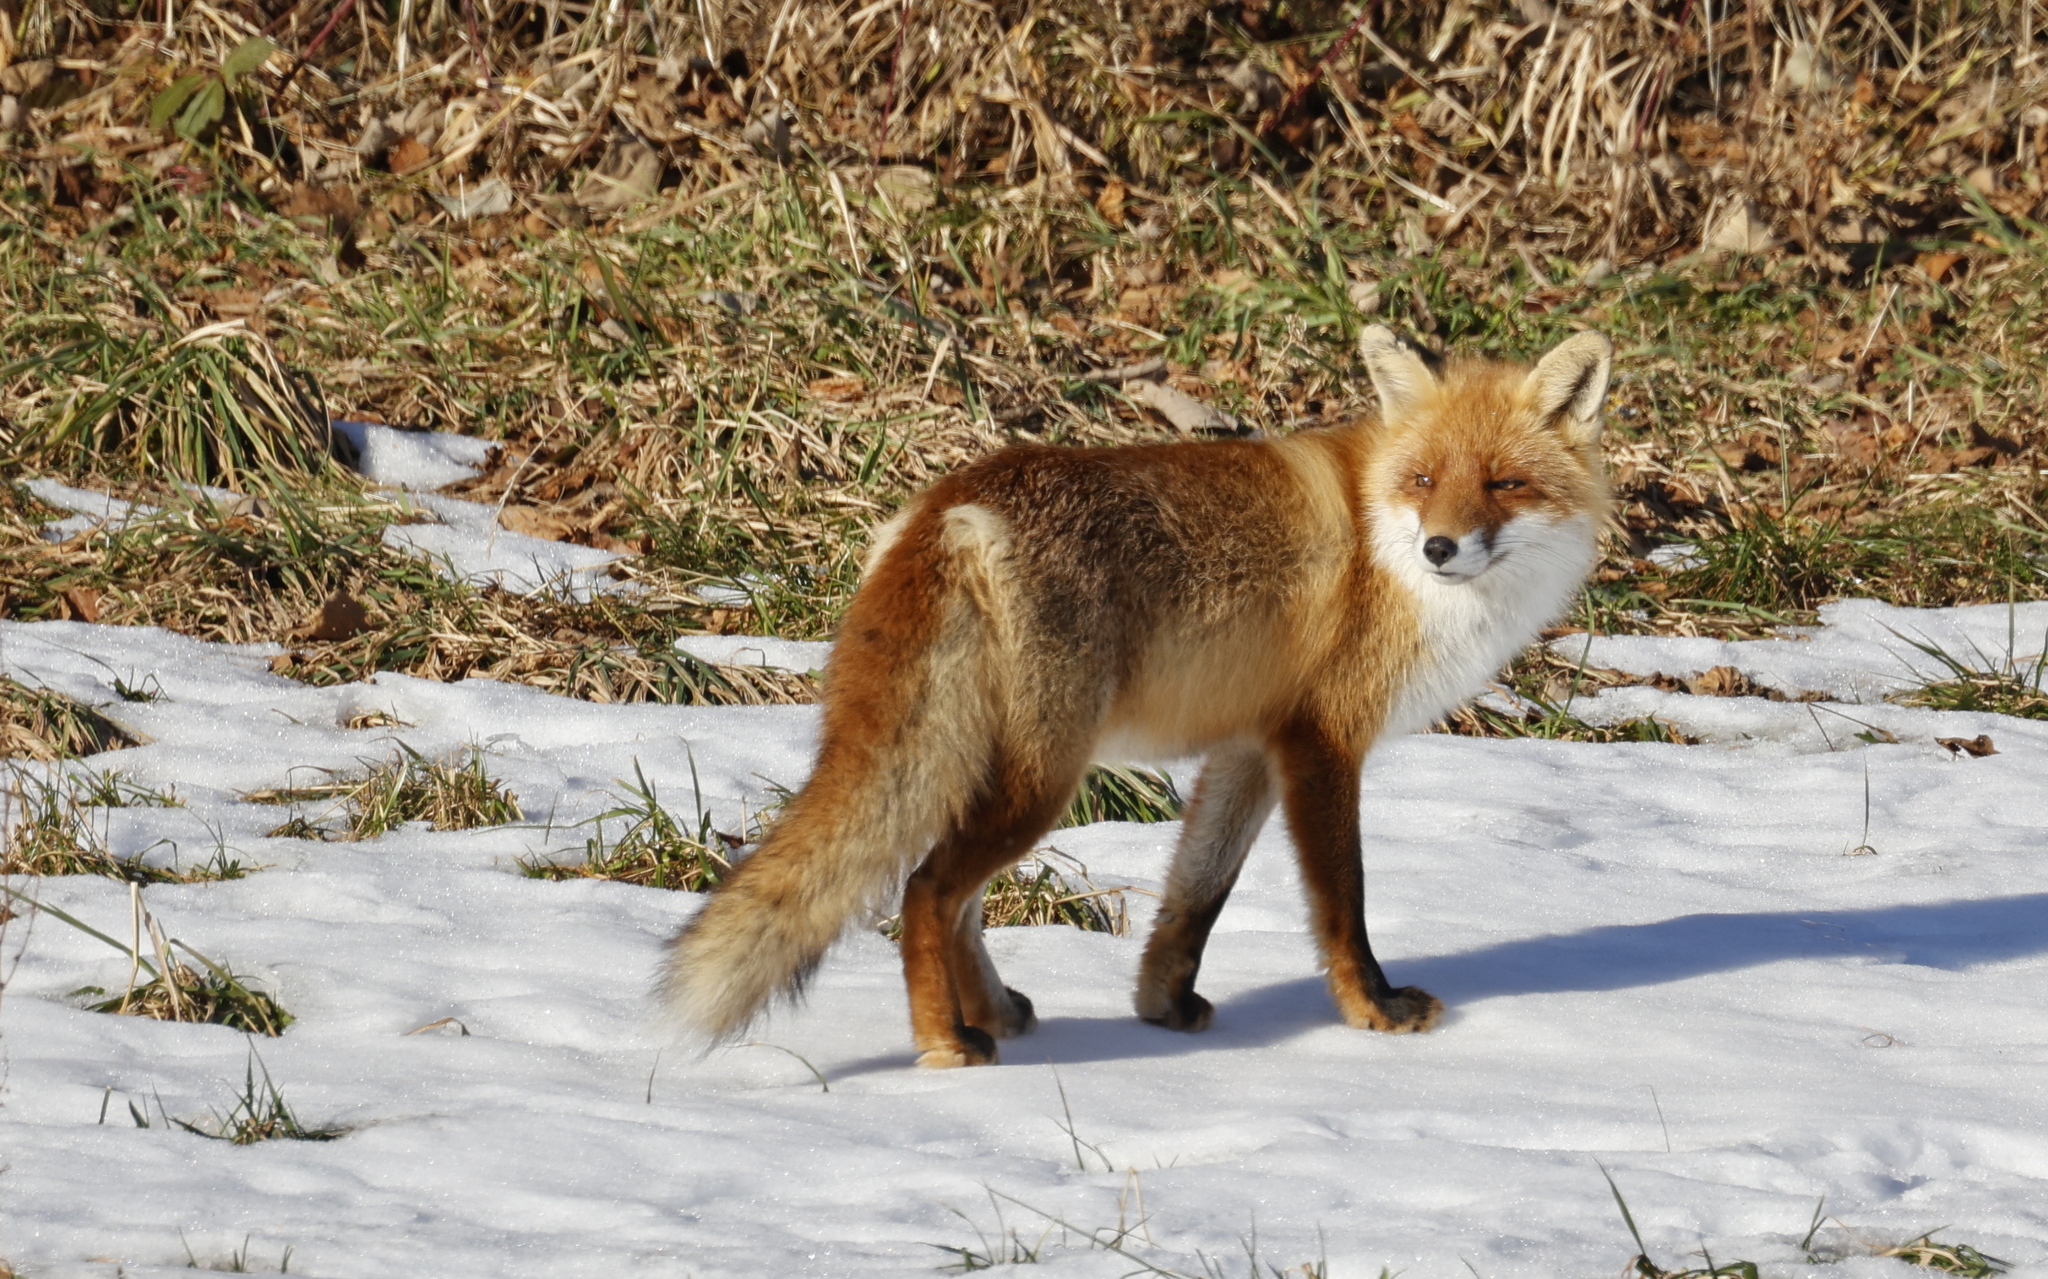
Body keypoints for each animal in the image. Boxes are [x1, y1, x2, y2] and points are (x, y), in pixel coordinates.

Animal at [663, 323, 1605, 1064]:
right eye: (1424, 479)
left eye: (1504, 482)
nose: (1441, 546)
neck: (1387, 559)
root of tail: (950, 504)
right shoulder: (1324, 742)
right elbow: (1344, 901)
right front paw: (1372, 1008)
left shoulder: (1249, 747)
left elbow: (1196, 894)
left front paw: (1163, 1006)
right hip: (1044, 776)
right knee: (928, 890)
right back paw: (947, 1041)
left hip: (1003, 765)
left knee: (958, 899)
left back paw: (995, 1012)